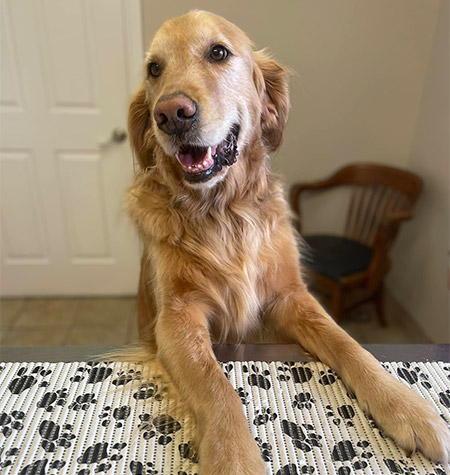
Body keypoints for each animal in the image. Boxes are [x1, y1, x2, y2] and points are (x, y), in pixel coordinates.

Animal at [124, 9, 450, 474]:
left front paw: (407, 406)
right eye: (154, 69)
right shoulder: (176, 317)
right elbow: (215, 386)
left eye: (218, 52)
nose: (170, 113)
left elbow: (348, 343)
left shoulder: (290, 295)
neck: (222, 211)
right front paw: (235, 459)